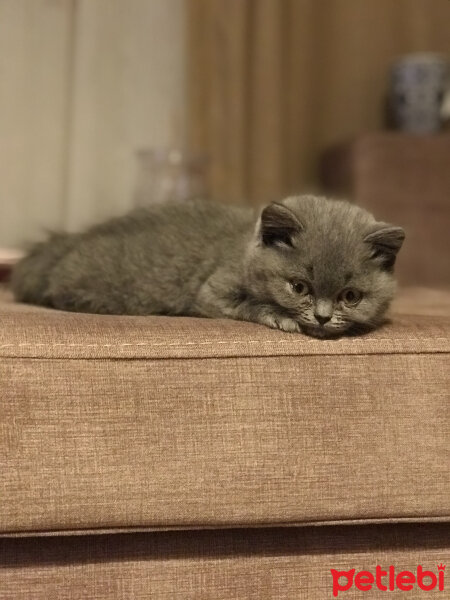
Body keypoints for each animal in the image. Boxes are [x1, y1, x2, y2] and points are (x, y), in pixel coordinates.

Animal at [11, 196, 404, 338]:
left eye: (350, 296)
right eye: (299, 287)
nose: (322, 317)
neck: (243, 247)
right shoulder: (212, 291)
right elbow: (246, 302)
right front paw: (281, 317)